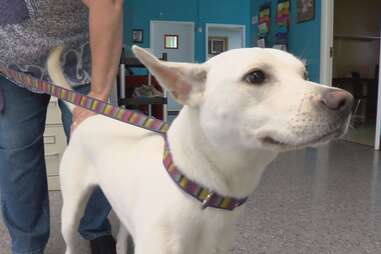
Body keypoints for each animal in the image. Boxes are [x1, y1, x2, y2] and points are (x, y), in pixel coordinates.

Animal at [47, 46, 354, 254]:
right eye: (256, 76)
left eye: (304, 74)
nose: (346, 101)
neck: (201, 190)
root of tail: (91, 116)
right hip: (71, 212)